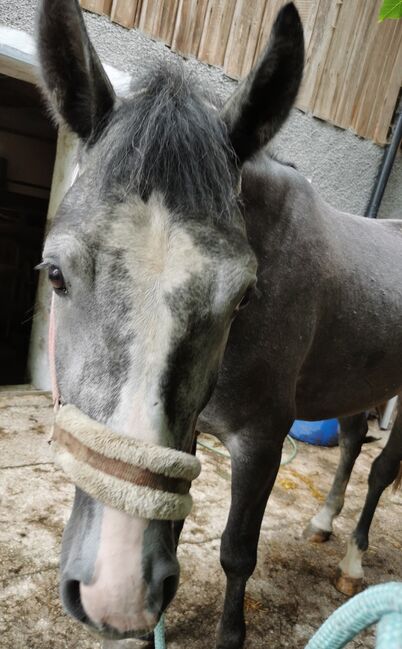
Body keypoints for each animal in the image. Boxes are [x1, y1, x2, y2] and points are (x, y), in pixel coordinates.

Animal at [37, 1, 402, 648]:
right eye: (55, 274)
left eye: (244, 296)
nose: (113, 592)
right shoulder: (184, 433)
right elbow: (175, 525)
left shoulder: (262, 439)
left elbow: (236, 551)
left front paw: (229, 633)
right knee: (353, 440)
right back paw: (324, 523)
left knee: (381, 469)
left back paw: (354, 560)